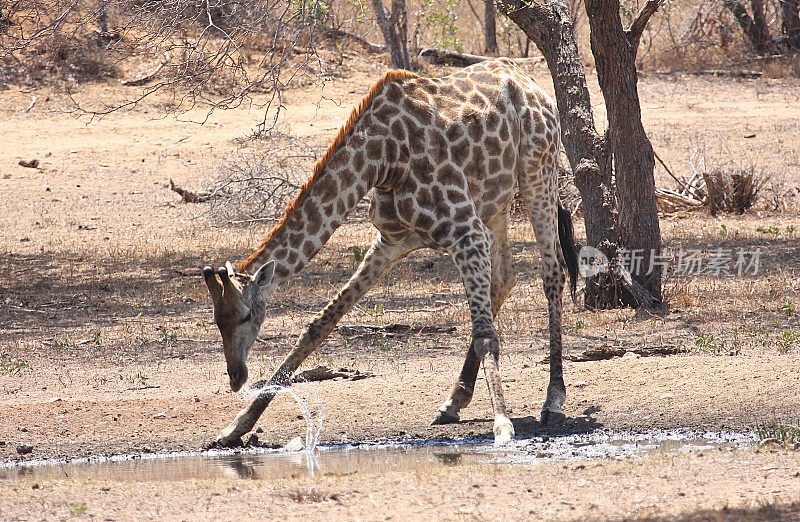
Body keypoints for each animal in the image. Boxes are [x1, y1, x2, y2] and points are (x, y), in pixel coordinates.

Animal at [203, 59, 580, 444]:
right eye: (217, 320)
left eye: (246, 316)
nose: (236, 376)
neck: (382, 162)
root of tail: (529, 82)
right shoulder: (392, 241)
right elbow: (319, 325)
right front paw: (236, 426)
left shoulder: (465, 231)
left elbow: (486, 335)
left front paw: (502, 423)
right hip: (495, 202)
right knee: (505, 278)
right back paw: (453, 401)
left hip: (538, 172)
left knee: (552, 272)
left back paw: (553, 400)